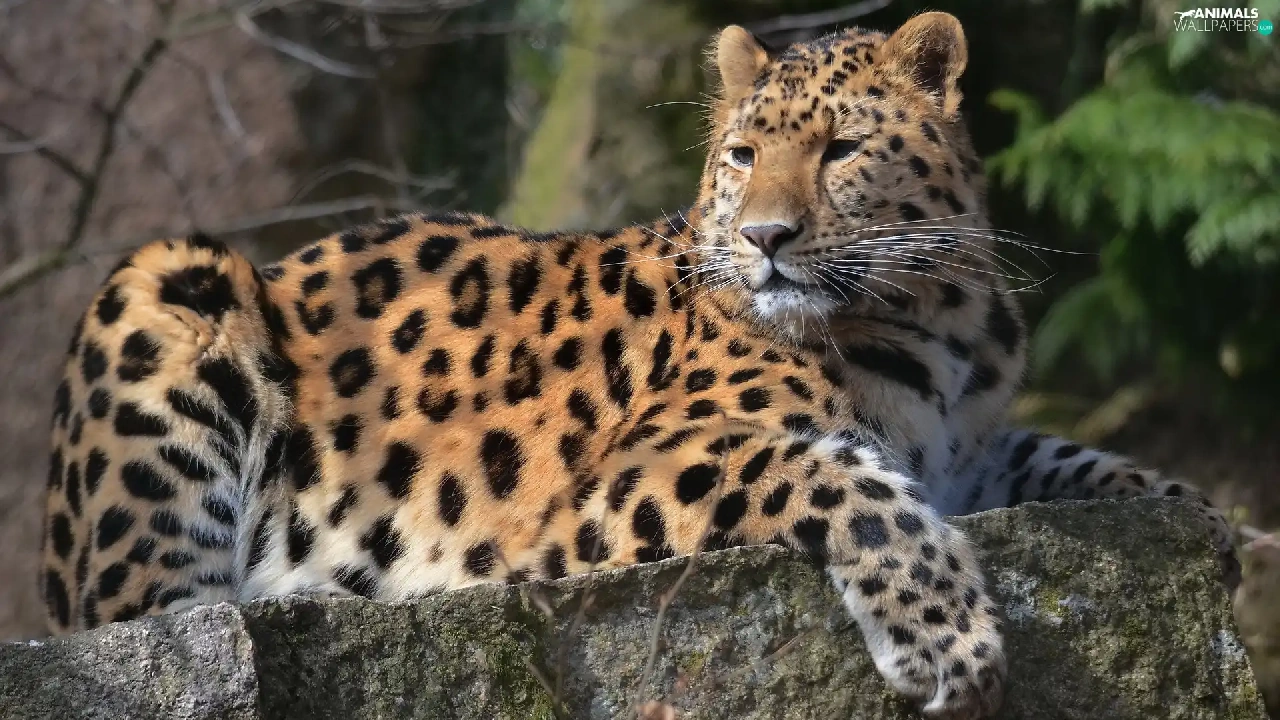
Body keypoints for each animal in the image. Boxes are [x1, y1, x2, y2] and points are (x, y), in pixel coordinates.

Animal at [39, 12, 1234, 718]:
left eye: (841, 150)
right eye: (743, 154)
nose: (765, 236)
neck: (936, 317)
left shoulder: (975, 454)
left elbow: (1081, 462)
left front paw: (1207, 524)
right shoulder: (631, 473)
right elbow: (835, 475)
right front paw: (943, 634)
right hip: (166, 283)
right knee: (160, 613)